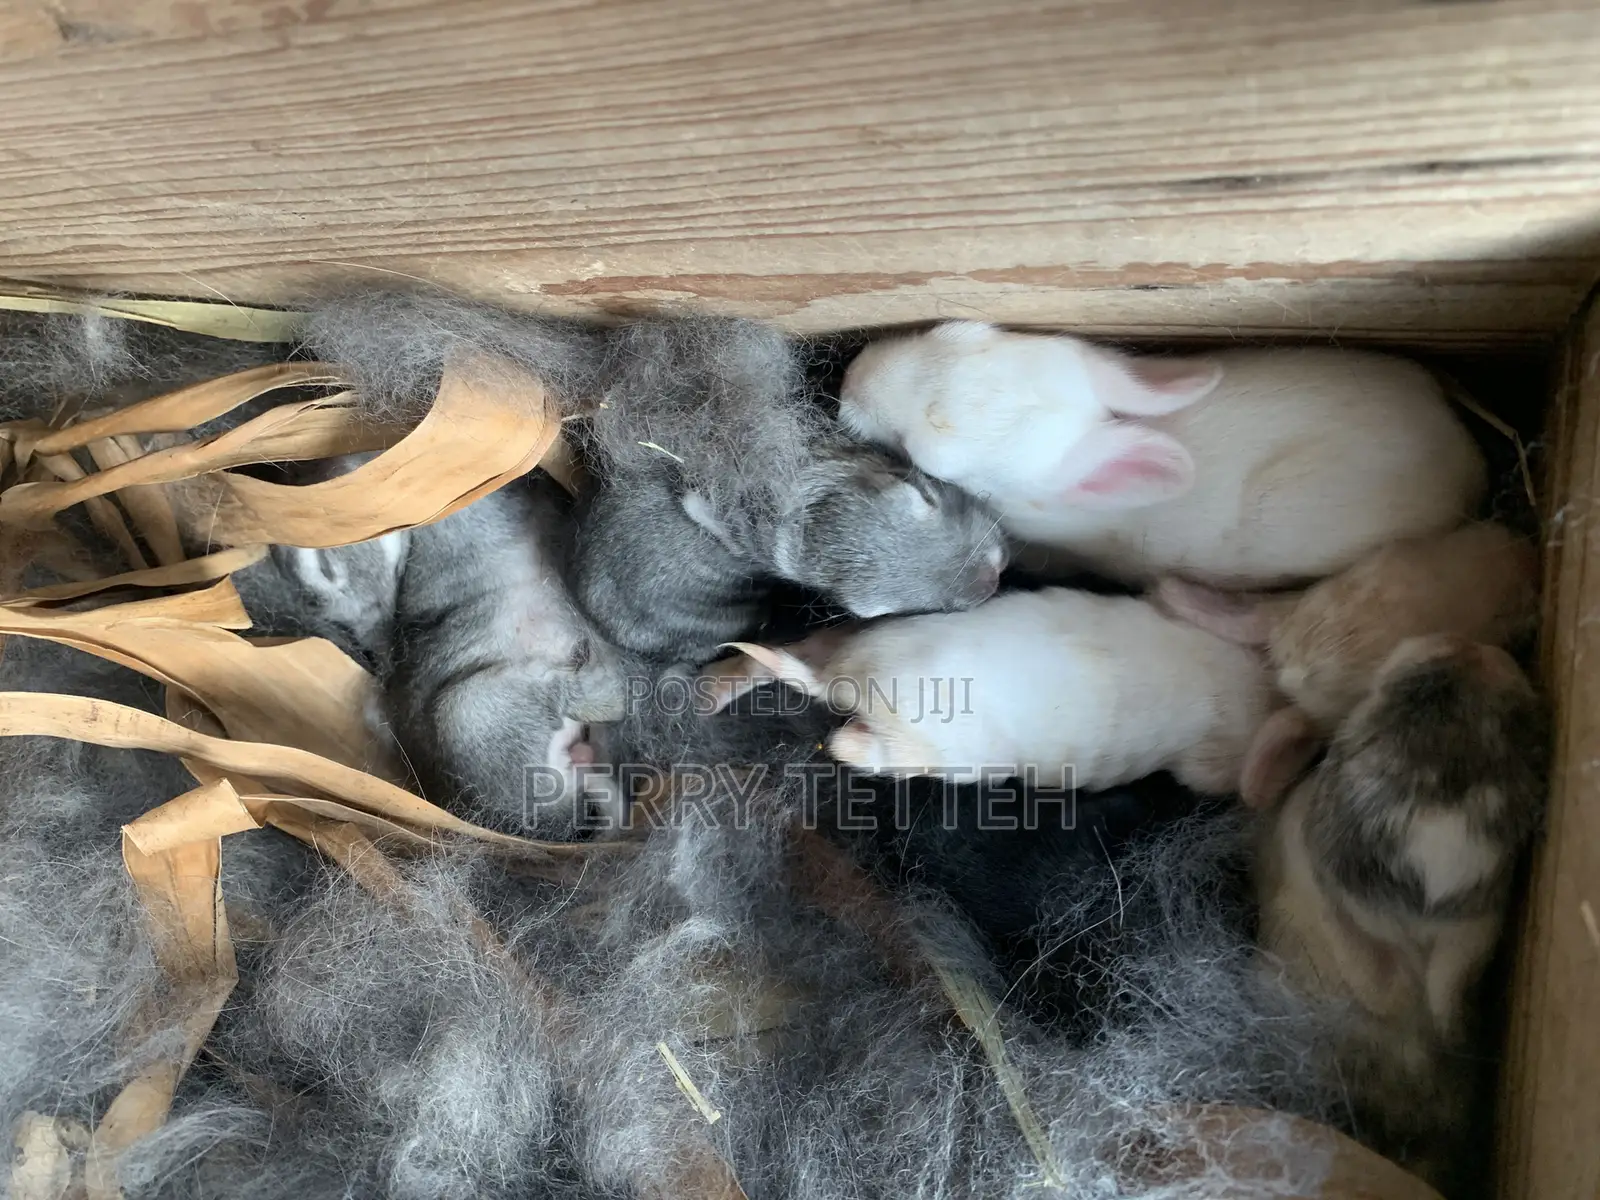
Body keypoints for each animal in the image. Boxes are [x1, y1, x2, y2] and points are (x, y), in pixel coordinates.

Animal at [714, 586, 1274, 795]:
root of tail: (846, 678)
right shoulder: (1208, 766)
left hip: (863, 632)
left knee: (793, 652)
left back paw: (710, 689)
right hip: (934, 752)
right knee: (848, 744)